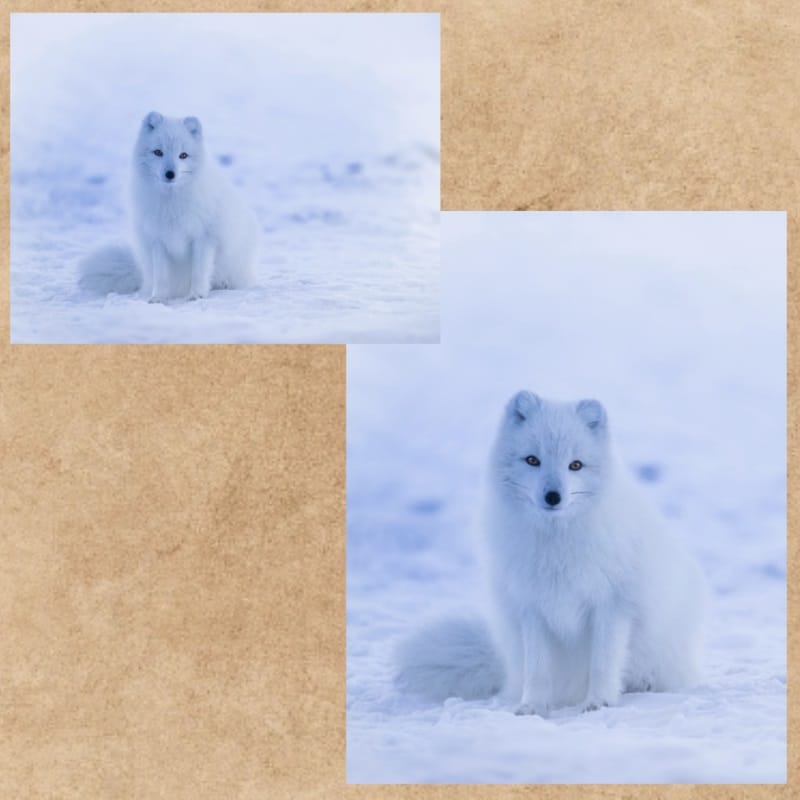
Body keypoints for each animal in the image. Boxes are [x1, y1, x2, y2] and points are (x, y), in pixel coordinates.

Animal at [78, 111, 256, 302]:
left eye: (183, 155)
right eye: (158, 152)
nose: (170, 174)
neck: (171, 202)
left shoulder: (204, 237)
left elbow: (199, 272)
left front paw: (196, 295)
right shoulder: (157, 240)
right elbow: (161, 276)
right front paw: (158, 298)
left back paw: (223, 284)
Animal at [396, 390, 708, 716]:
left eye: (576, 465)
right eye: (533, 460)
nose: (553, 496)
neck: (556, 544)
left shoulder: (612, 605)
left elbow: (603, 662)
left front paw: (598, 702)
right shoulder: (532, 607)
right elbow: (537, 669)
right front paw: (532, 706)